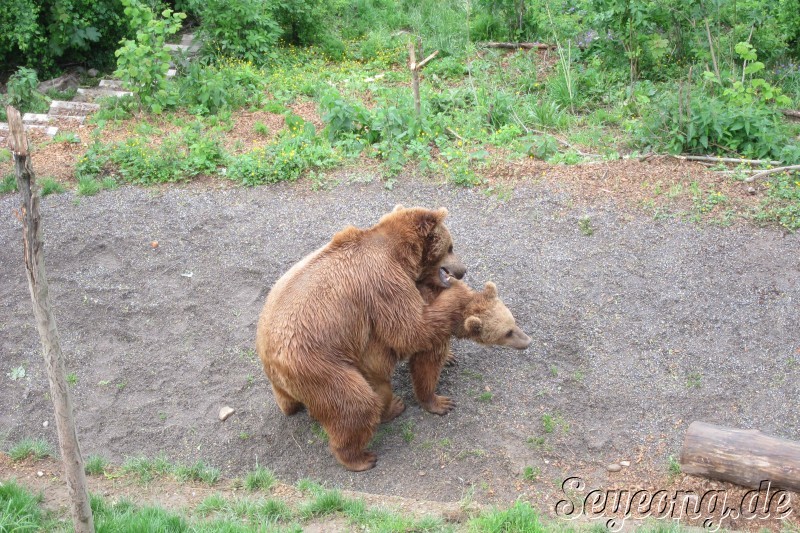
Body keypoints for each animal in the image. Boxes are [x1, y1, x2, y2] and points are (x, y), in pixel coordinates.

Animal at [256, 204, 468, 470]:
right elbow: (411, 328)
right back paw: (361, 456)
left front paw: (449, 357)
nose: (463, 271)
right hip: (318, 366)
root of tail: (268, 360)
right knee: (356, 404)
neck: (402, 255)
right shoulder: (383, 283)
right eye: (451, 247)